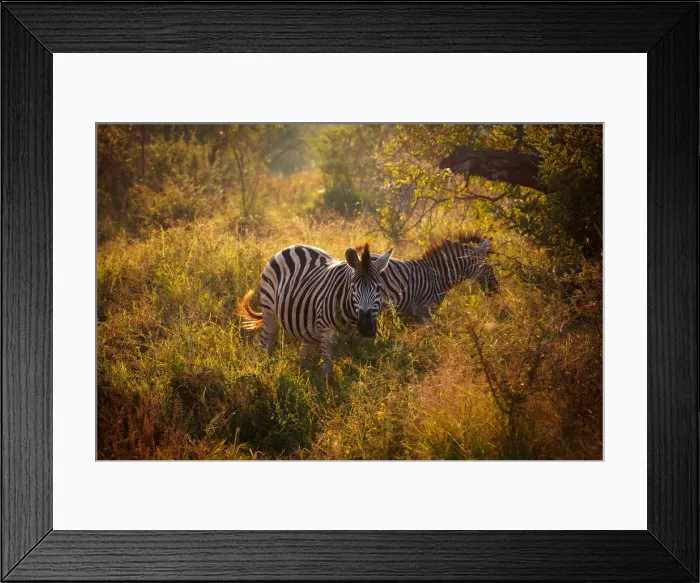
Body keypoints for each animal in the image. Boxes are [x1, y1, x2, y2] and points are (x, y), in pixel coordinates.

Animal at [238, 243, 394, 374]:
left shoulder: (361, 342)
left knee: (306, 357)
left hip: (307, 330)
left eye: (379, 288)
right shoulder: (326, 333)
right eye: (353, 288)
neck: (352, 318)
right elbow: (328, 369)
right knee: (266, 345)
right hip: (269, 312)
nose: (366, 327)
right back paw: (263, 371)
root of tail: (293, 246)